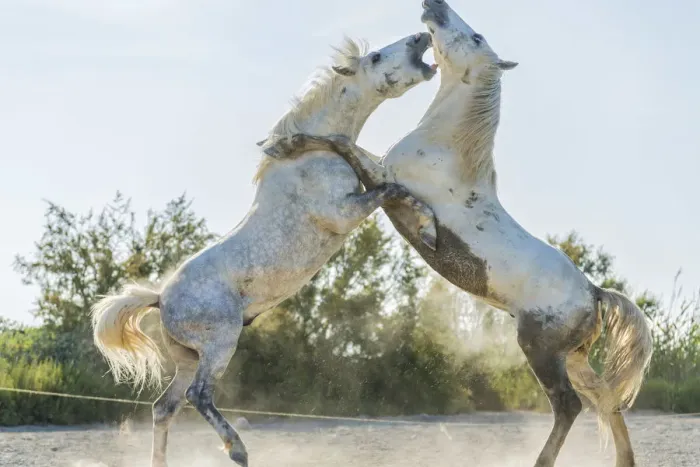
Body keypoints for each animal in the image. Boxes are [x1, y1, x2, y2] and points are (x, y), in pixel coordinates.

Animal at [90, 32, 439, 467]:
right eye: (375, 57)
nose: (420, 38)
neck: (309, 155)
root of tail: (161, 298)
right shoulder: (343, 214)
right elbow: (392, 190)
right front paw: (430, 228)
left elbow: (394, 188)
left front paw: (429, 228)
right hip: (219, 344)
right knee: (197, 396)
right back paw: (237, 450)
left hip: (189, 358)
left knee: (164, 407)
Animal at [265, 1, 653, 465]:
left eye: (476, 37)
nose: (434, 7)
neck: (445, 152)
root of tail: (594, 292)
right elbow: (347, 145)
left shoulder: (387, 176)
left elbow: (342, 143)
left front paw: (284, 145)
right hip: (572, 357)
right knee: (606, 399)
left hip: (540, 351)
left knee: (569, 406)